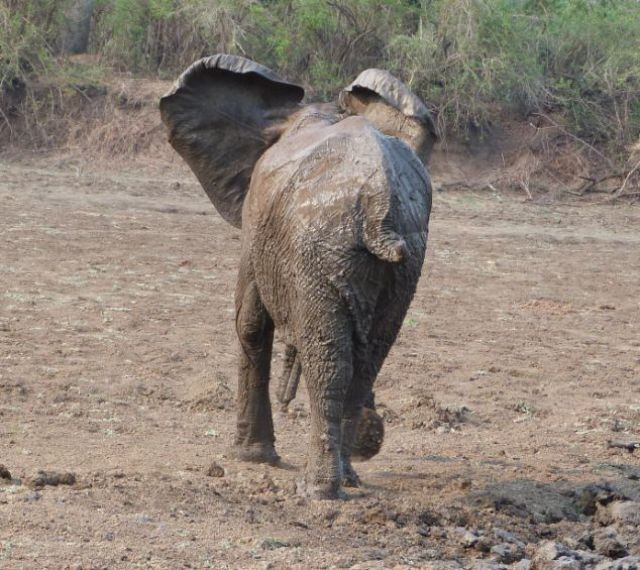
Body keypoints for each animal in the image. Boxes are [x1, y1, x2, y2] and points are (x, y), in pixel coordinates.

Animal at [160, 54, 438, 496]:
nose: (373, 439)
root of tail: (379, 203)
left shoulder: (256, 221)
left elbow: (250, 323)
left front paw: (252, 457)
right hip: (405, 265)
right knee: (367, 360)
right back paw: (348, 477)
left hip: (319, 250)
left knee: (329, 361)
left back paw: (319, 488)